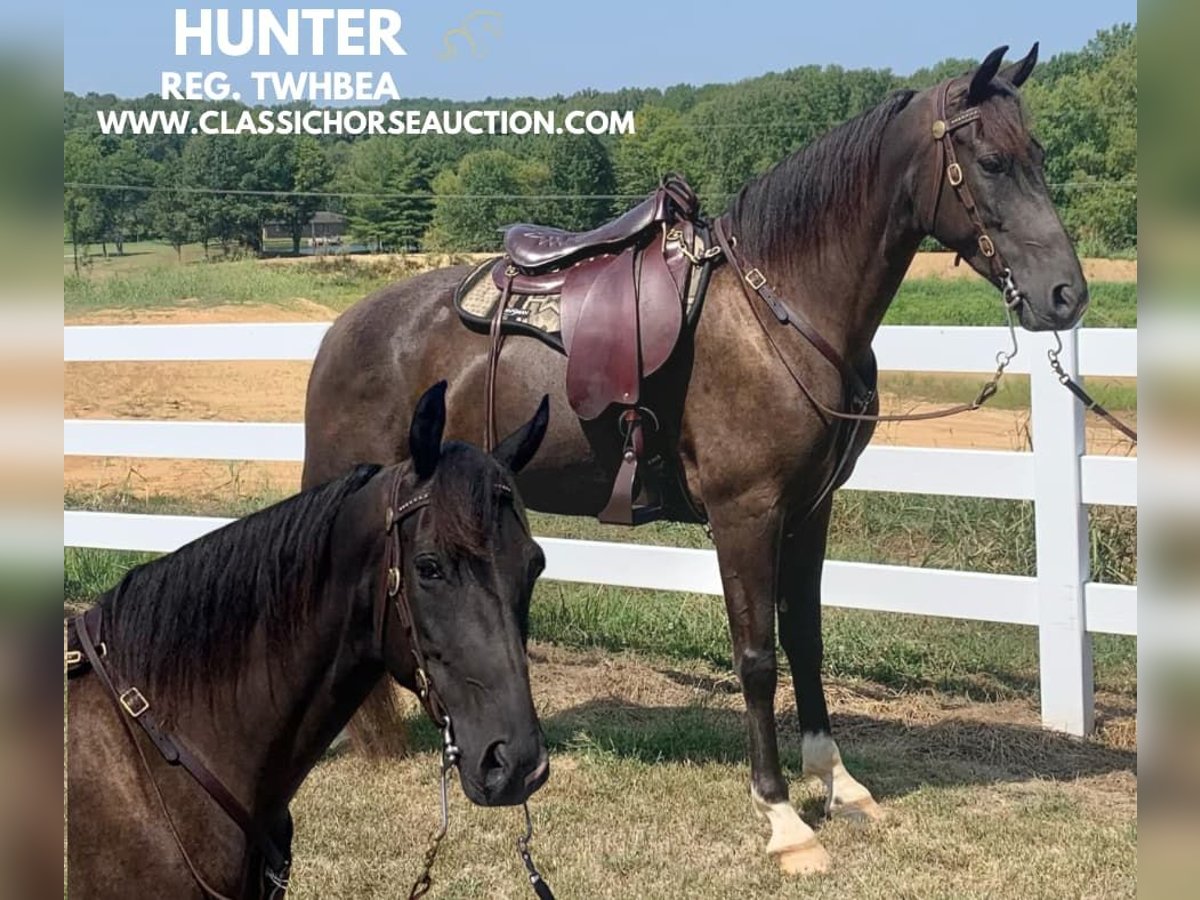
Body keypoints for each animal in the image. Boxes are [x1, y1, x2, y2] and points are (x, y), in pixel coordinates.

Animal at [304, 47, 1094, 873]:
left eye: (1040, 155)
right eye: (993, 161)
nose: (1066, 296)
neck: (778, 311)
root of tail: (344, 330)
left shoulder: (809, 511)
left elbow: (805, 641)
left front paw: (837, 784)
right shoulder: (746, 513)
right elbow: (756, 657)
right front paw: (782, 817)